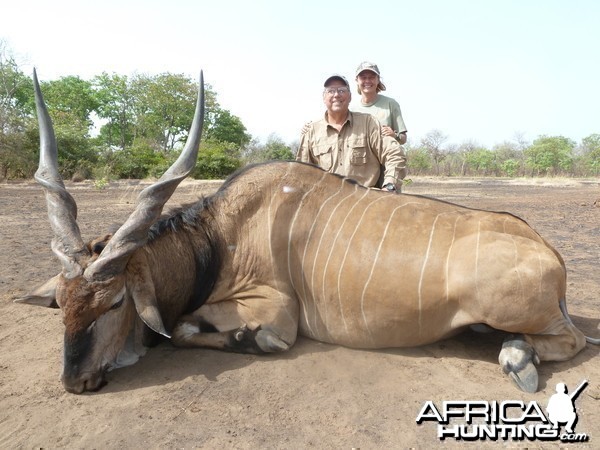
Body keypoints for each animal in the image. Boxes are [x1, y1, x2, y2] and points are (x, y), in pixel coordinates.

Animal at [16, 67, 596, 394]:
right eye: (62, 304)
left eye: (115, 302)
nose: (75, 382)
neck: (221, 238)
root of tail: (549, 251)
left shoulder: (276, 311)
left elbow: (198, 331)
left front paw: (242, 338)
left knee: (570, 338)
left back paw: (517, 358)